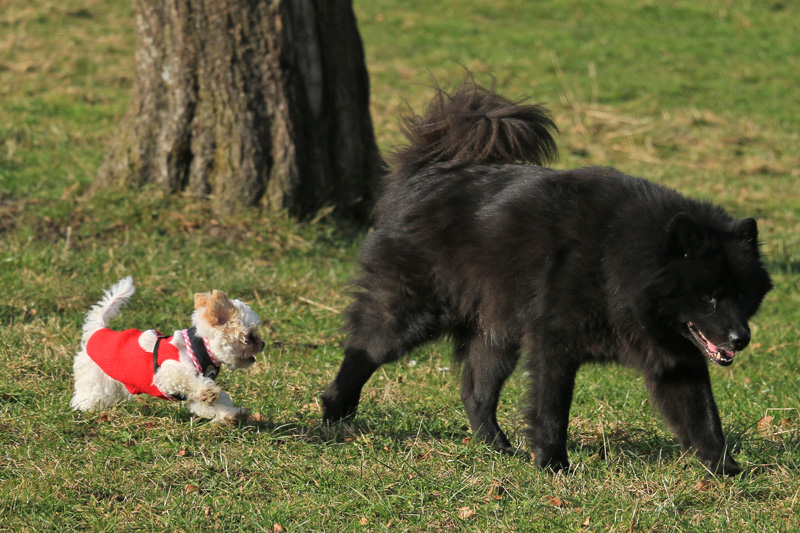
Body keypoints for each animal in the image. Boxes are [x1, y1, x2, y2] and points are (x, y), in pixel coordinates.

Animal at [70, 276, 264, 422]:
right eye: (250, 336)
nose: (263, 344)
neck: (201, 347)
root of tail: (98, 330)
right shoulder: (167, 373)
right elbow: (189, 380)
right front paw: (207, 392)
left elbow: (213, 402)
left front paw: (232, 414)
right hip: (94, 381)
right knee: (84, 397)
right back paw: (83, 411)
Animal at [322, 80, 772, 474]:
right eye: (709, 296)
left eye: (742, 296)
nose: (741, 339)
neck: (619, 261)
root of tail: (427, 172)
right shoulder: (555, 343)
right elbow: (552, 410)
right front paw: (553, 465)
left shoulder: (677, 362)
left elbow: (703, 418)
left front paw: (725, 470)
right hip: (414, 311)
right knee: (364, 349)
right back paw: (332, 413)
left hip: (497, 333)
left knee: (476, 392)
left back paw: (497, 446)